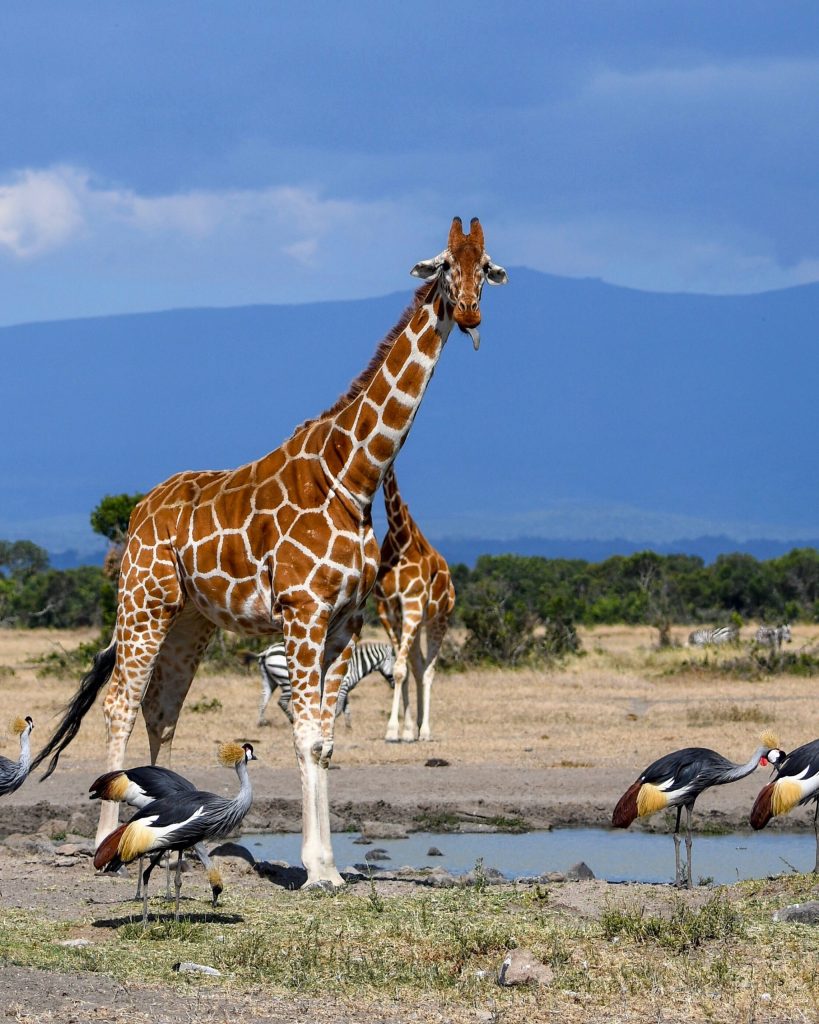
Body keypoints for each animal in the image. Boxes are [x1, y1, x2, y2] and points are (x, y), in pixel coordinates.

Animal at [255, 638, 397, 729]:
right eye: (396, 665)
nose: (395, 685)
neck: (356, 665)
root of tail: (267, 651)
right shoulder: (343, 686)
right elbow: (339, 709)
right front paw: (331, 724)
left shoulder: (344, 688)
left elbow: (346, 708)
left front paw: (349, 727)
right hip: (287, 680)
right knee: (281, 702)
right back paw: (291, 720)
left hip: (269, 680)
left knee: (263, 699)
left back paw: (262, 723)